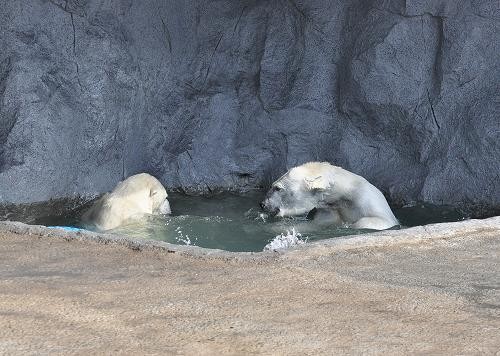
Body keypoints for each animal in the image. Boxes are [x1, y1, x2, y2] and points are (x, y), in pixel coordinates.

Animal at [262, 162, 398, 229]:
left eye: (277, 188)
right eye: (272, 185)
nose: (262, 204)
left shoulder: (367, 200)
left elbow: (373, 221)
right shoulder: (329, 211)